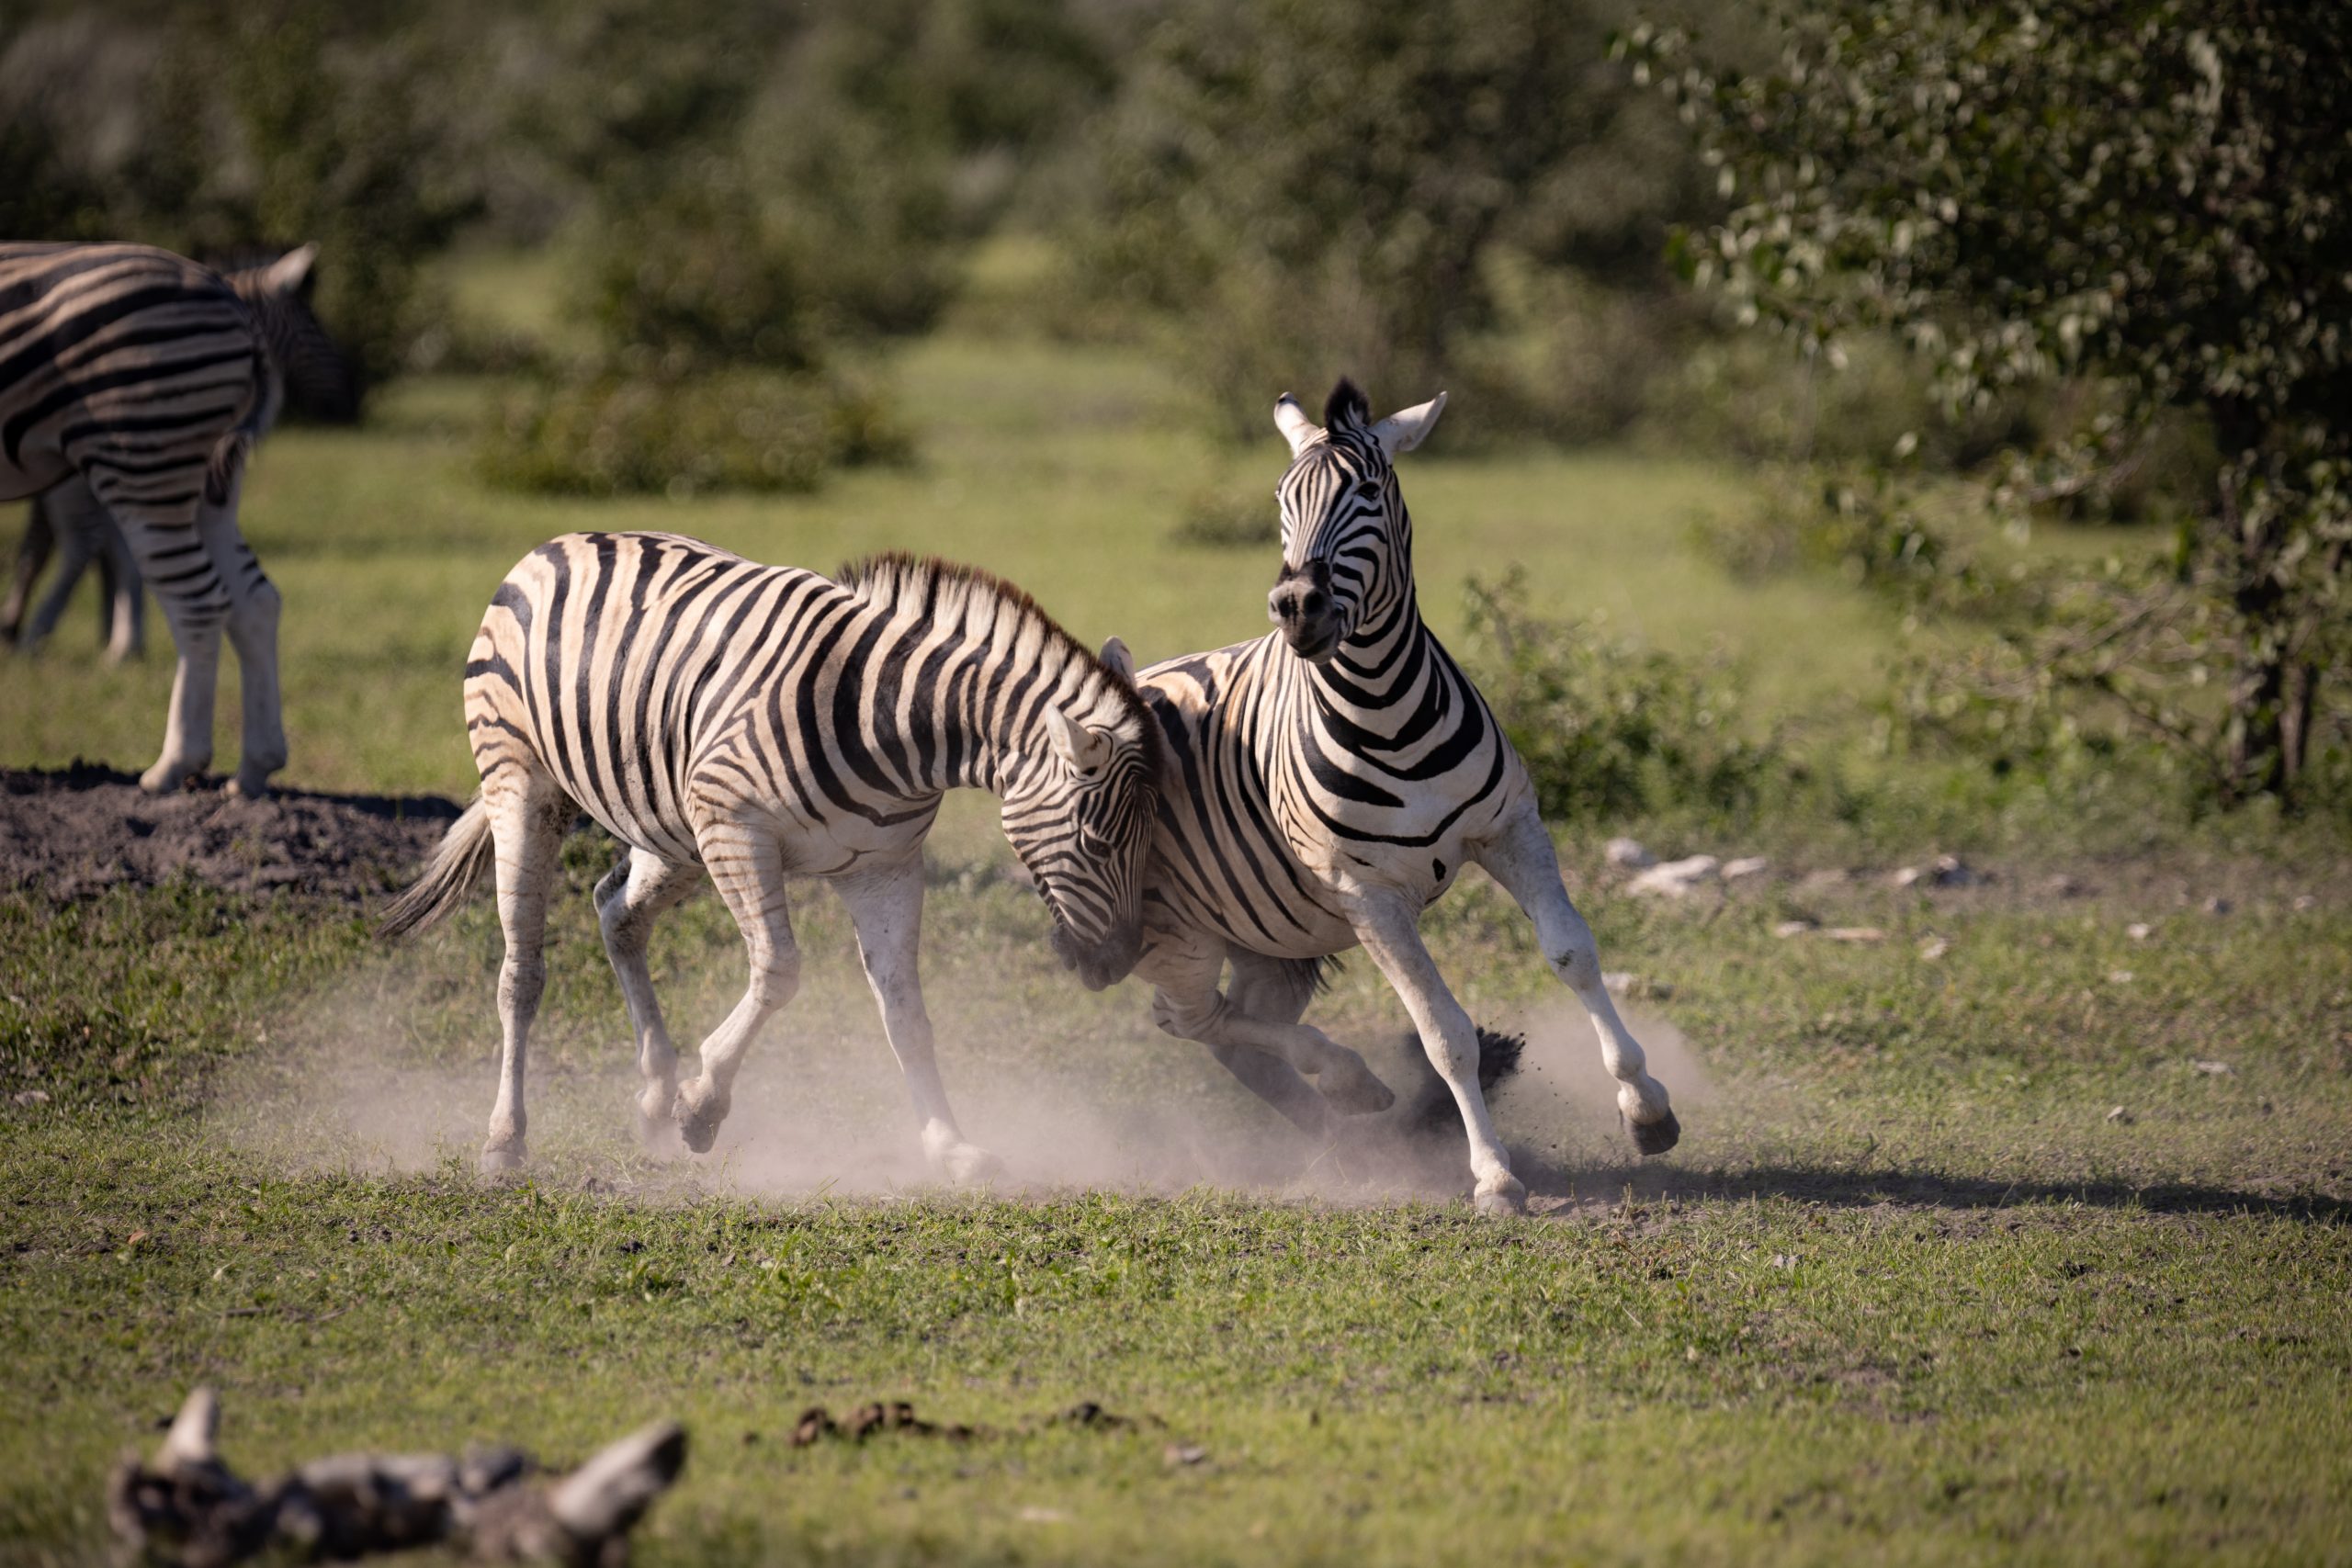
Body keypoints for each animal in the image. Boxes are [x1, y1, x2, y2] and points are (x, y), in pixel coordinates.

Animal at [0, 241, 350, 795]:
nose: (349, 400)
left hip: (140, 454)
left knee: (193, 600)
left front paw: (116, 642)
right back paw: (254, 767)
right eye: (310, 324)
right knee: (255, 601)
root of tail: (235, 314)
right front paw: (119, 639)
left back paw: (172, 763)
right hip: (200, 483)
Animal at [380, 531, 1161, 1178]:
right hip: (526, 783)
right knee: (522, 972)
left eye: (1154, 834)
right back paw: (506, 1140)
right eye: (1098, 841)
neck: (896, 727)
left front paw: (951, 1147)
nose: (1119, 962)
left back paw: (653, 1092)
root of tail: (556, 545)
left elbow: (907, 1013)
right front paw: (702, 1105)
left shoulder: (885, 867)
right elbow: (780, 970)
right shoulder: (737, 827)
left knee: (616, 913)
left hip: (672, 825)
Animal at [1106, 380, 1679, 1216]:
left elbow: (1573, 953)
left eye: (1369, 492)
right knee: (1192, 1019)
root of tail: (1132, 676)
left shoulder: (1512, 827)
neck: (1388, 712)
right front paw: (1494, 1175)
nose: (1296, 605)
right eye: (1282, 499)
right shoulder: (1368, 895)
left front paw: (1646, 1106)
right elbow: (1444, 1031)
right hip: (1171, 930)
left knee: (1229, 1030)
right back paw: (1354, 1104)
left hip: (1271, 939)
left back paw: (1351, 1127)